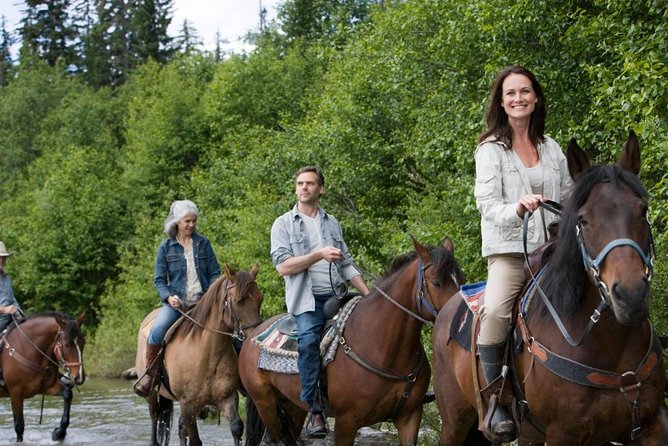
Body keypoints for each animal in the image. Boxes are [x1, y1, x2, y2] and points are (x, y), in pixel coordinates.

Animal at [0, 312, 86, 444]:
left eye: (83, 342)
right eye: (66, 344)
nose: (79, 378)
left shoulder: (46, 387)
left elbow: (67, 393)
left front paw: (59, 433)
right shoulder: (15, 394)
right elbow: (19, 426)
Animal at [134, 264, 264, 444]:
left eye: (260, 299)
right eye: (238, 301)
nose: (255, 335)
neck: (208, 354)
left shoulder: (228, 397)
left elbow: (237, 427)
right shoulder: (188, 405)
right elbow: (195, 440)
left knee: (181, 430)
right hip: (152, 395)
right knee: (154, 418)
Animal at [239, 239, 464, 444]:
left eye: (461, 279)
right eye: (436, 282)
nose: (456, 313)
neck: (381, 347)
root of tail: (252, 336)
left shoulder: (410, 417)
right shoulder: (347, 421)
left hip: (293, 406)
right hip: (265, 404)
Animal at [434, 131, 668, 444]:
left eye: (642, 211)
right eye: (583, 219)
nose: (630, 295)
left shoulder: (653, 424)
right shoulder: (563, 432)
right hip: (454, 422)